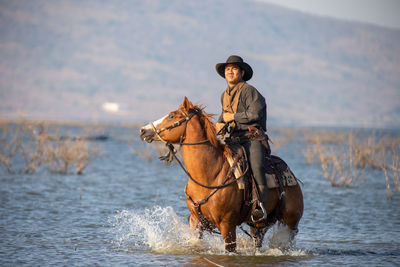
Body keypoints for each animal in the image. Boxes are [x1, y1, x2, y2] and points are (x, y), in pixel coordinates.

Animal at [141, 97, 304, 252]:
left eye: (172, 116)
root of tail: (292, 176)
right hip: (258, 225)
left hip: (290, 223)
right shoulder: (195, 220)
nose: (143, 130)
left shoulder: (227, 224)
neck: (210, 174)